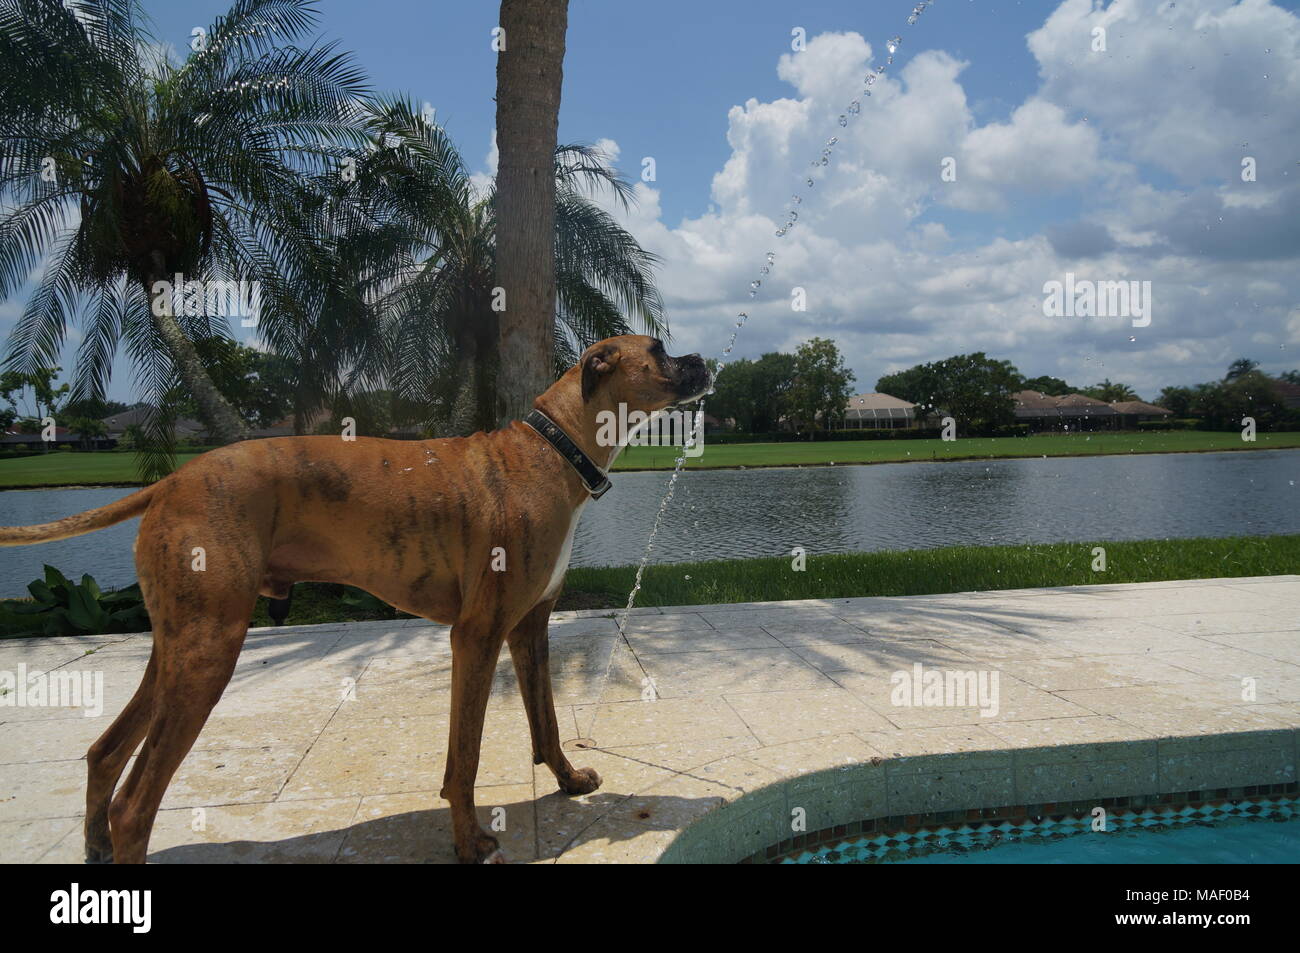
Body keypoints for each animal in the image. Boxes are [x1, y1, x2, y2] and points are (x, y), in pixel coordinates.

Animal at [2, 335, 712, 863]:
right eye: (658, 349)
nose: (703, 359)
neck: (553, 446)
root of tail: (172, 480)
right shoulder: (477, 636)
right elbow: (465, 755)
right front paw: (468, 841)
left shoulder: (528, 627)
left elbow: (547, 719)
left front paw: (566, 782)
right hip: (206, 655)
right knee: (136, 805)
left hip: (177, 651)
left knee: (104, 753)